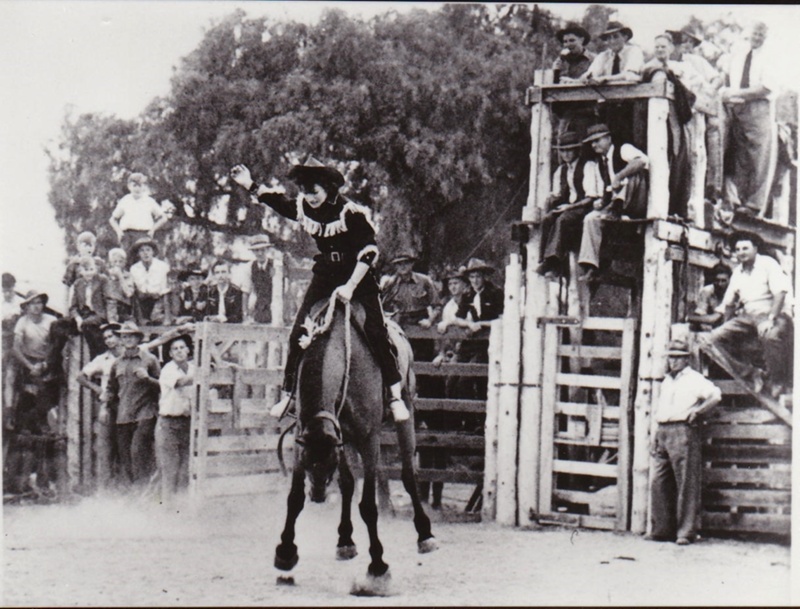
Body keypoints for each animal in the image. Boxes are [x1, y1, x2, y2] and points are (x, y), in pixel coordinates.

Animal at [276, 292, 438, 592]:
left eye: (327, 463)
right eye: (310, 462)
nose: (317, 494)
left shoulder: (368, 438)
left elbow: (369, 505)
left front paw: (378, 567)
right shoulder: (309, 437)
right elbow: (296, 497)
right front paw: (285, 552)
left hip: (406, 414)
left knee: (409, 474)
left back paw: (425, 535)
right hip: (348, 440)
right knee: (349, 484)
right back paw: (345, 541)